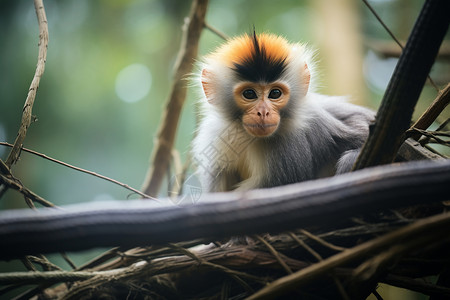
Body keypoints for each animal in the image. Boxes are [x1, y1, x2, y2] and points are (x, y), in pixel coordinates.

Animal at [192, 32, 374, 192]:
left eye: (275, 93)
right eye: (249, 94)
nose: (263, 112)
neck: (245, 135)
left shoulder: (288, 145)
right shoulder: (216, 136)